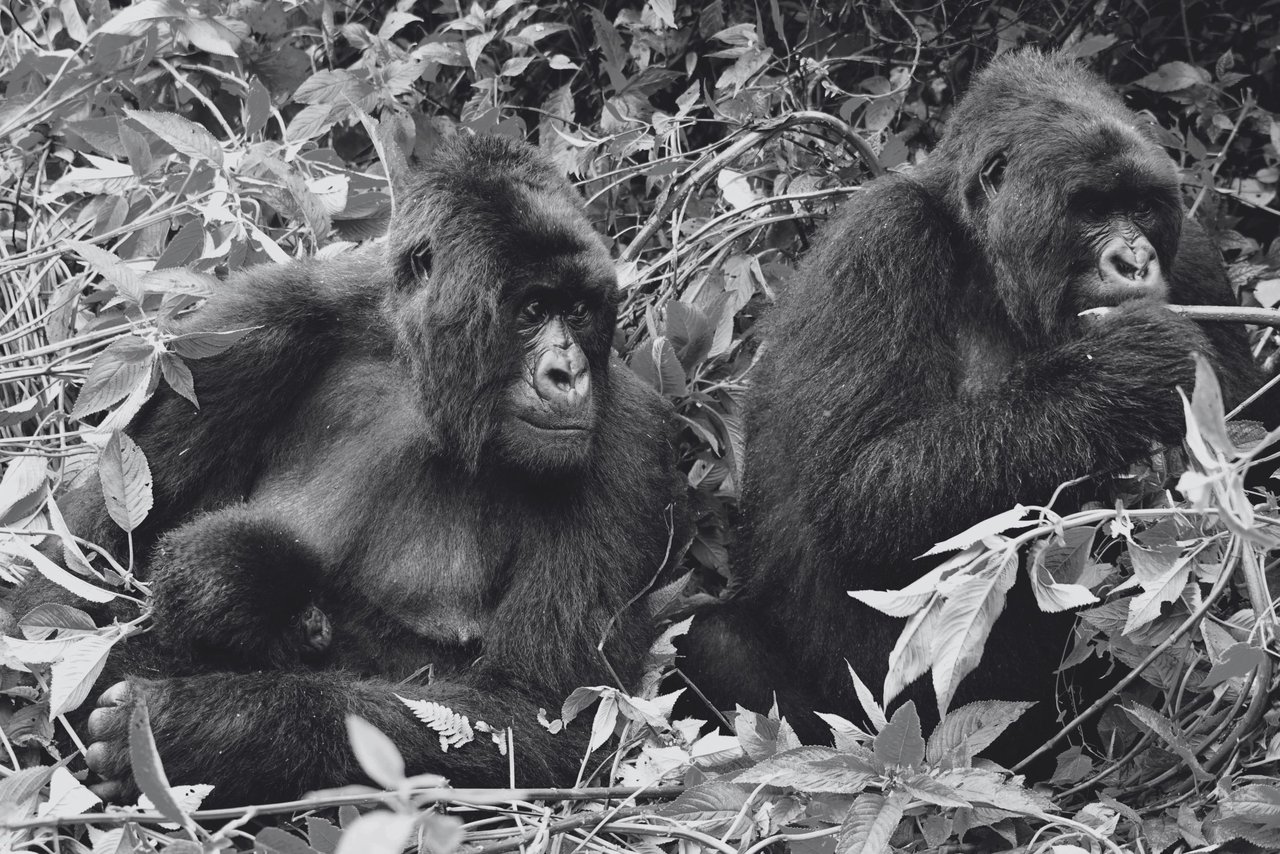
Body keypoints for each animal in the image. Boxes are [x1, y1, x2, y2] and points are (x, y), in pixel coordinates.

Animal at [12, 135, 691, 809]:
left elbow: (553, 718)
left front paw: (199, 729)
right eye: (531, 311)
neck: (423, 377)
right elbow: (76, 569)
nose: (568, 375)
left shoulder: (627, 440)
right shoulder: (247, 328)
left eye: (578, 310)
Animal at [680, 50, 1269, 763]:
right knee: (714, 641)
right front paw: (1129, 368)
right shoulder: (882, 241)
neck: (987, 257)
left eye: (1142, 207)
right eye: (1092, 208)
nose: (1134, 261)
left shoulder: (1198, 256)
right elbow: (858, 488)